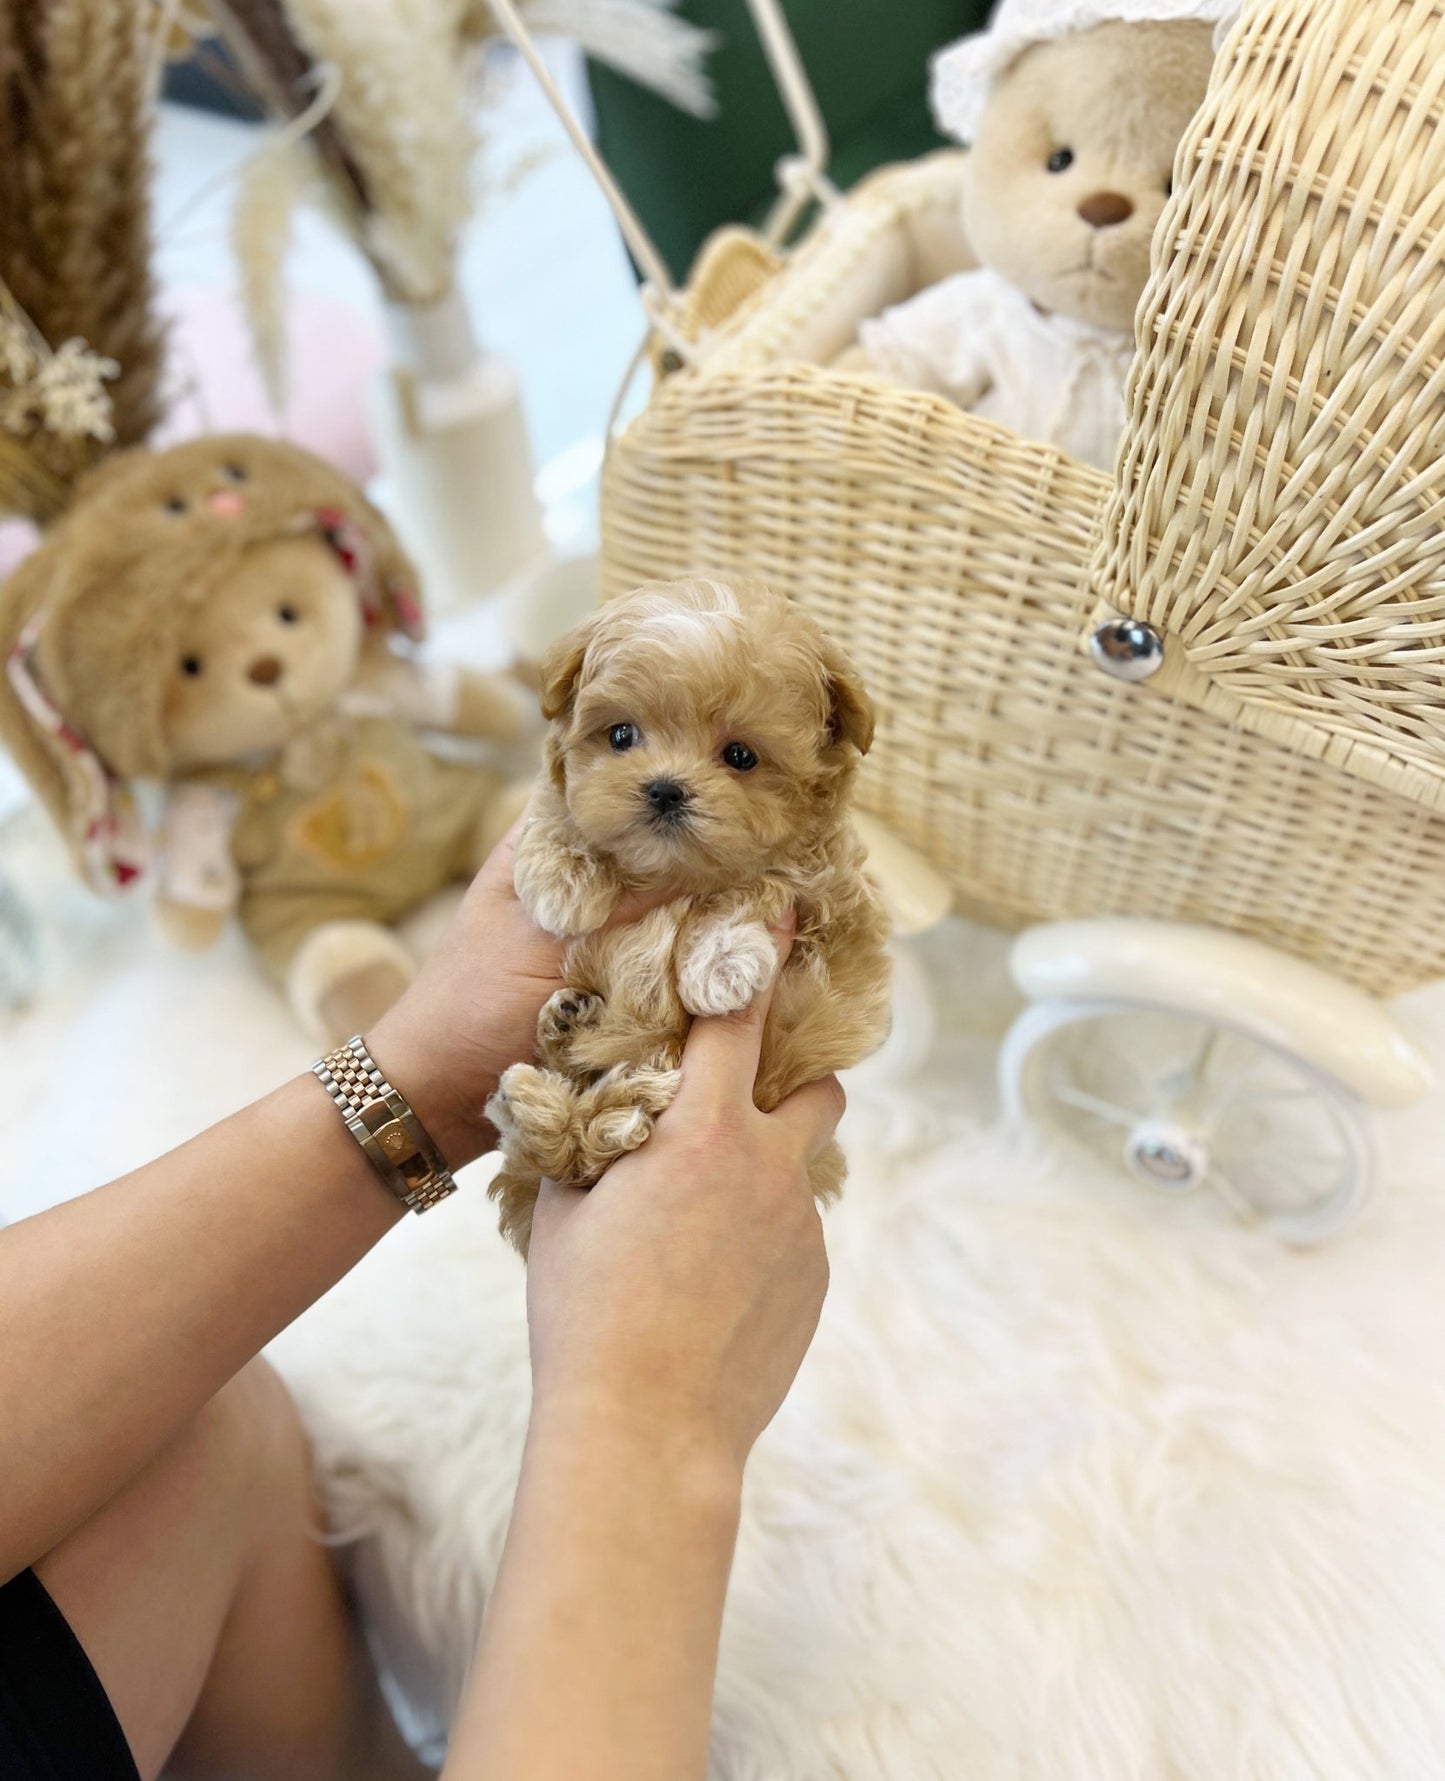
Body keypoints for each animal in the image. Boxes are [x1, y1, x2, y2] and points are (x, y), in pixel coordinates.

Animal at [484, 573, 894, 1253]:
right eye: (621, 736)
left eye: (742, 756)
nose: (665, 788)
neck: (670, 872)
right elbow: (554, 809)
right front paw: (564, 880)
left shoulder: (831, 902)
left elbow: (755, 886)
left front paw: (720, 963)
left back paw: (591, 1101)